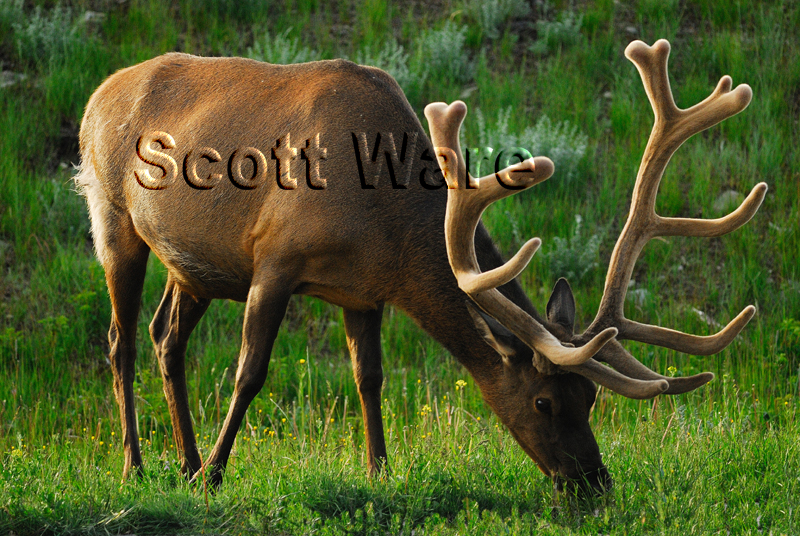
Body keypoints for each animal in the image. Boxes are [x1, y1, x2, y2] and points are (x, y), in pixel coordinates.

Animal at [75, 38, 765, 495]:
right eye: (543, 401)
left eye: (590, 397)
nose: (595, 485)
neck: (384, 227)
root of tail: (95, 95)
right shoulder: (275, 256)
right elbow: (250, 372)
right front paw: (218, 477)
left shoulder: (361, 291)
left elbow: (370, 378)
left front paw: (379, 472)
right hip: (112, 217)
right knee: (120, 341)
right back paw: (140, 466)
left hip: (193, 267)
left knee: (167, 337)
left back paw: (184, 460)